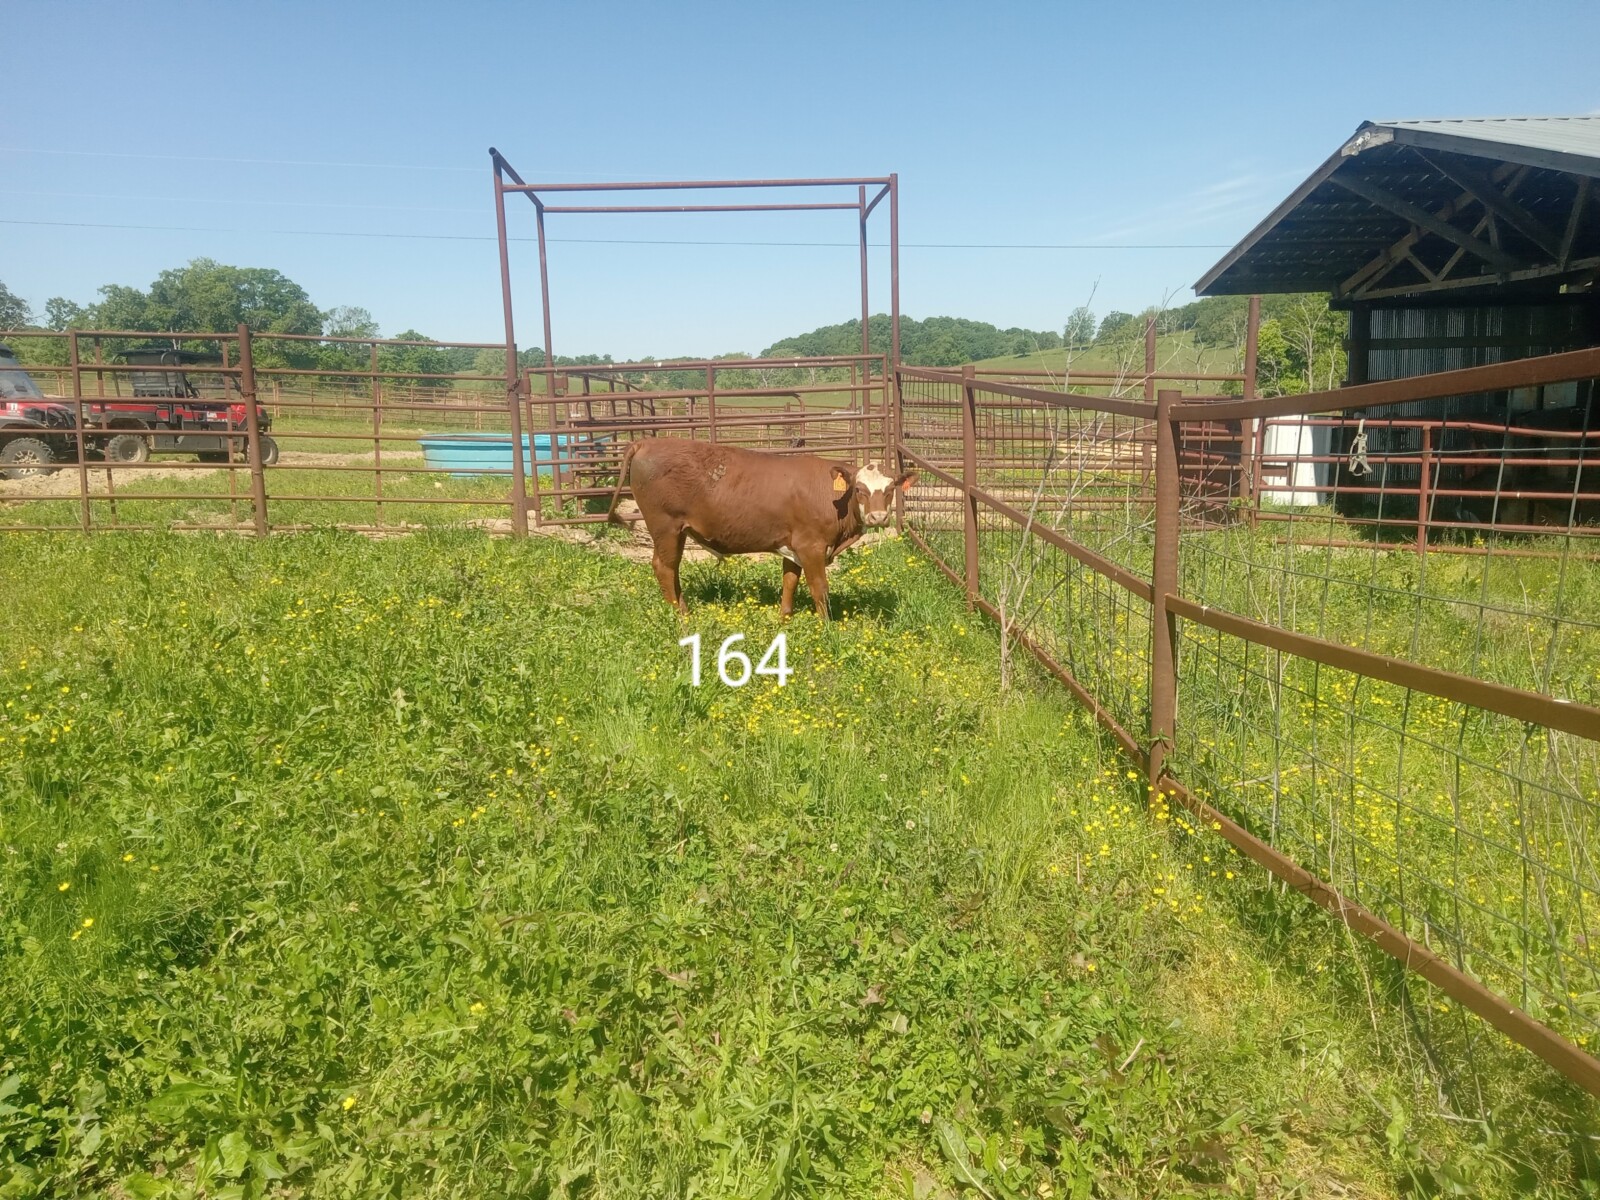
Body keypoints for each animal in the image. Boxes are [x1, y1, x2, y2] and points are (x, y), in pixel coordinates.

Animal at [607, 438, 915, 618]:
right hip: (665, 526)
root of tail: (647, 442)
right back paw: (680, 616)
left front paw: (784, 618)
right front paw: (825, 625)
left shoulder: (793, 545)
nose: (878, 517)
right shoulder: (811, 546)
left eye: (890, 490)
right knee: (665, 567)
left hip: (676, 531)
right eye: (860, 490)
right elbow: (819, 588)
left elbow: (789, 581)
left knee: (669, 568)